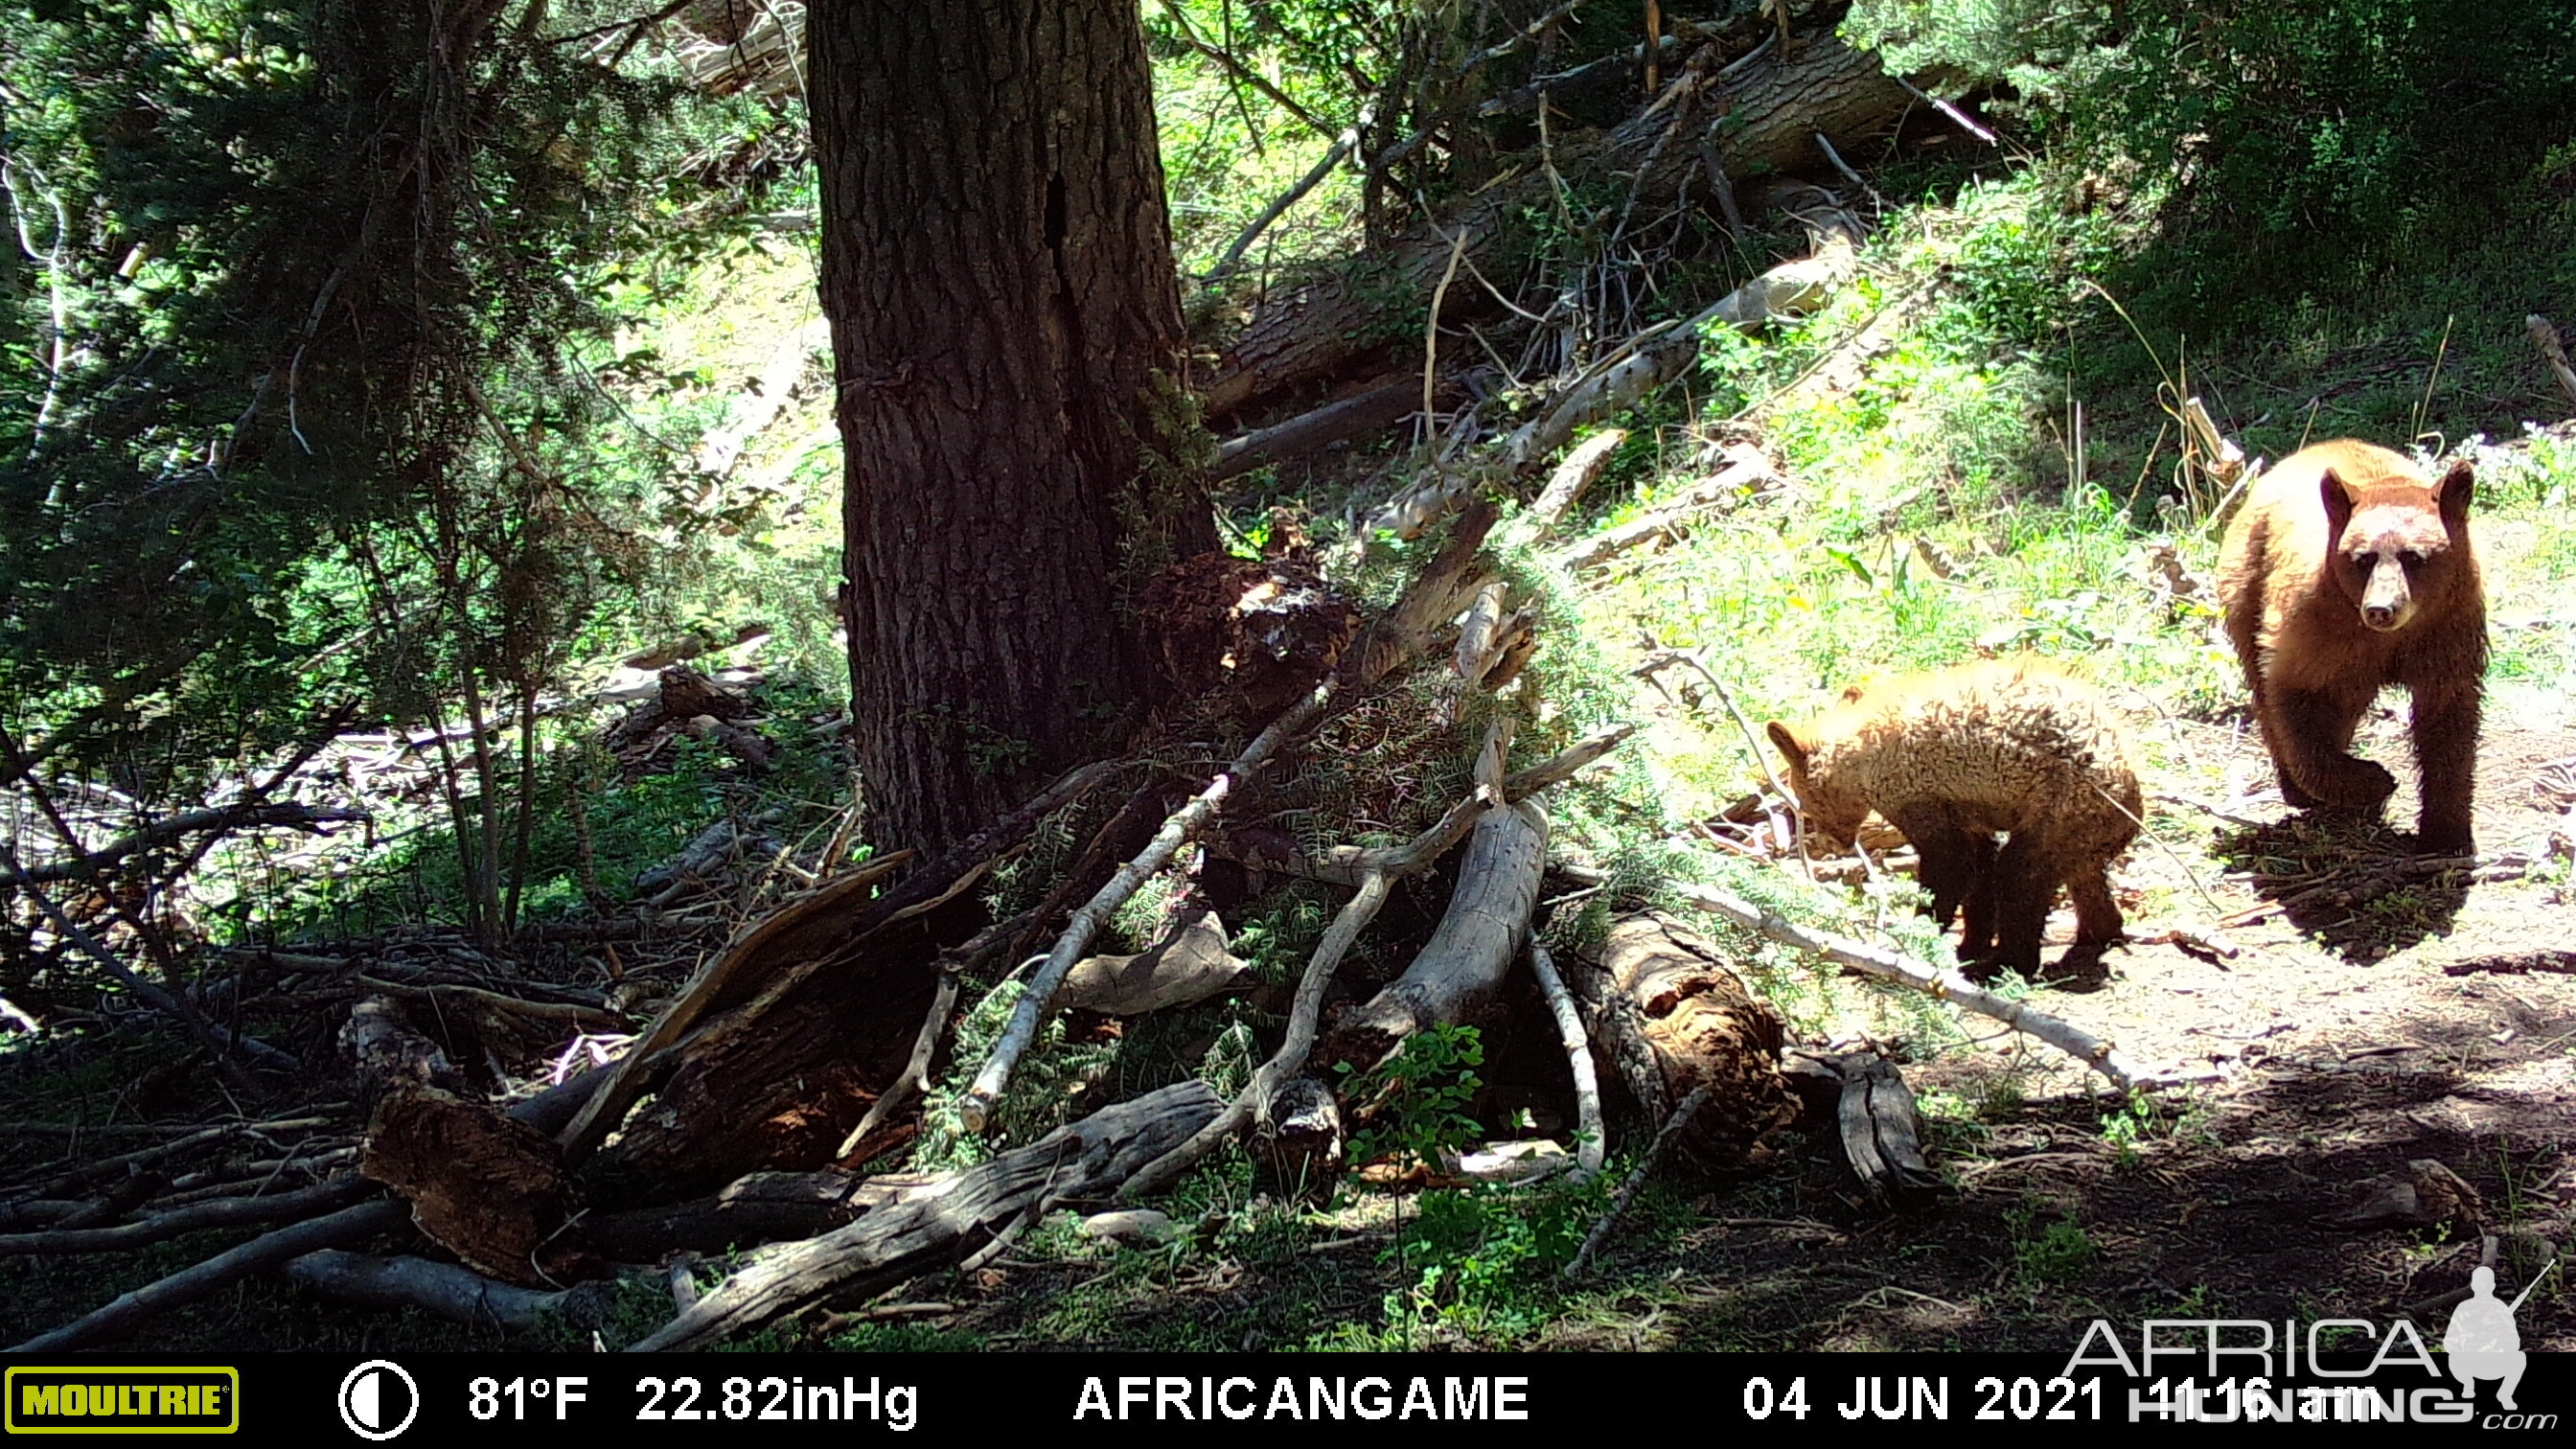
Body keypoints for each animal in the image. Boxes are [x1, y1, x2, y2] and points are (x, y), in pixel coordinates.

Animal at [1761, 657, 2143, 974]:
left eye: (1805, 804)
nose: (1832, 843)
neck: (1862, 759)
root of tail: (2134, 803)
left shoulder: (1917, 799)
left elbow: (1951, 871)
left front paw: (1913, 943)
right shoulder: (1969, 812)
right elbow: (1979, 880)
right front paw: (1969, 945)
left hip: (2061, 816)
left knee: (2019, 876)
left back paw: (2006, 963)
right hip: (2081, 838)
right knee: (2088, 888)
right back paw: (2097, 934)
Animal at [2204, 432, 2483, 850]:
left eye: (2415, 557)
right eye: (2362, 558)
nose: (2381, 609)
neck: (2394, 637)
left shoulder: (2449, 629)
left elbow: (2449, 721)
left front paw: (2446, 833)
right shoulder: (2317, 629)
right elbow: (2294, 699)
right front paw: (2373, 781)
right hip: (2246, 586)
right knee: (2266, 691)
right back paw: (2301, 790)